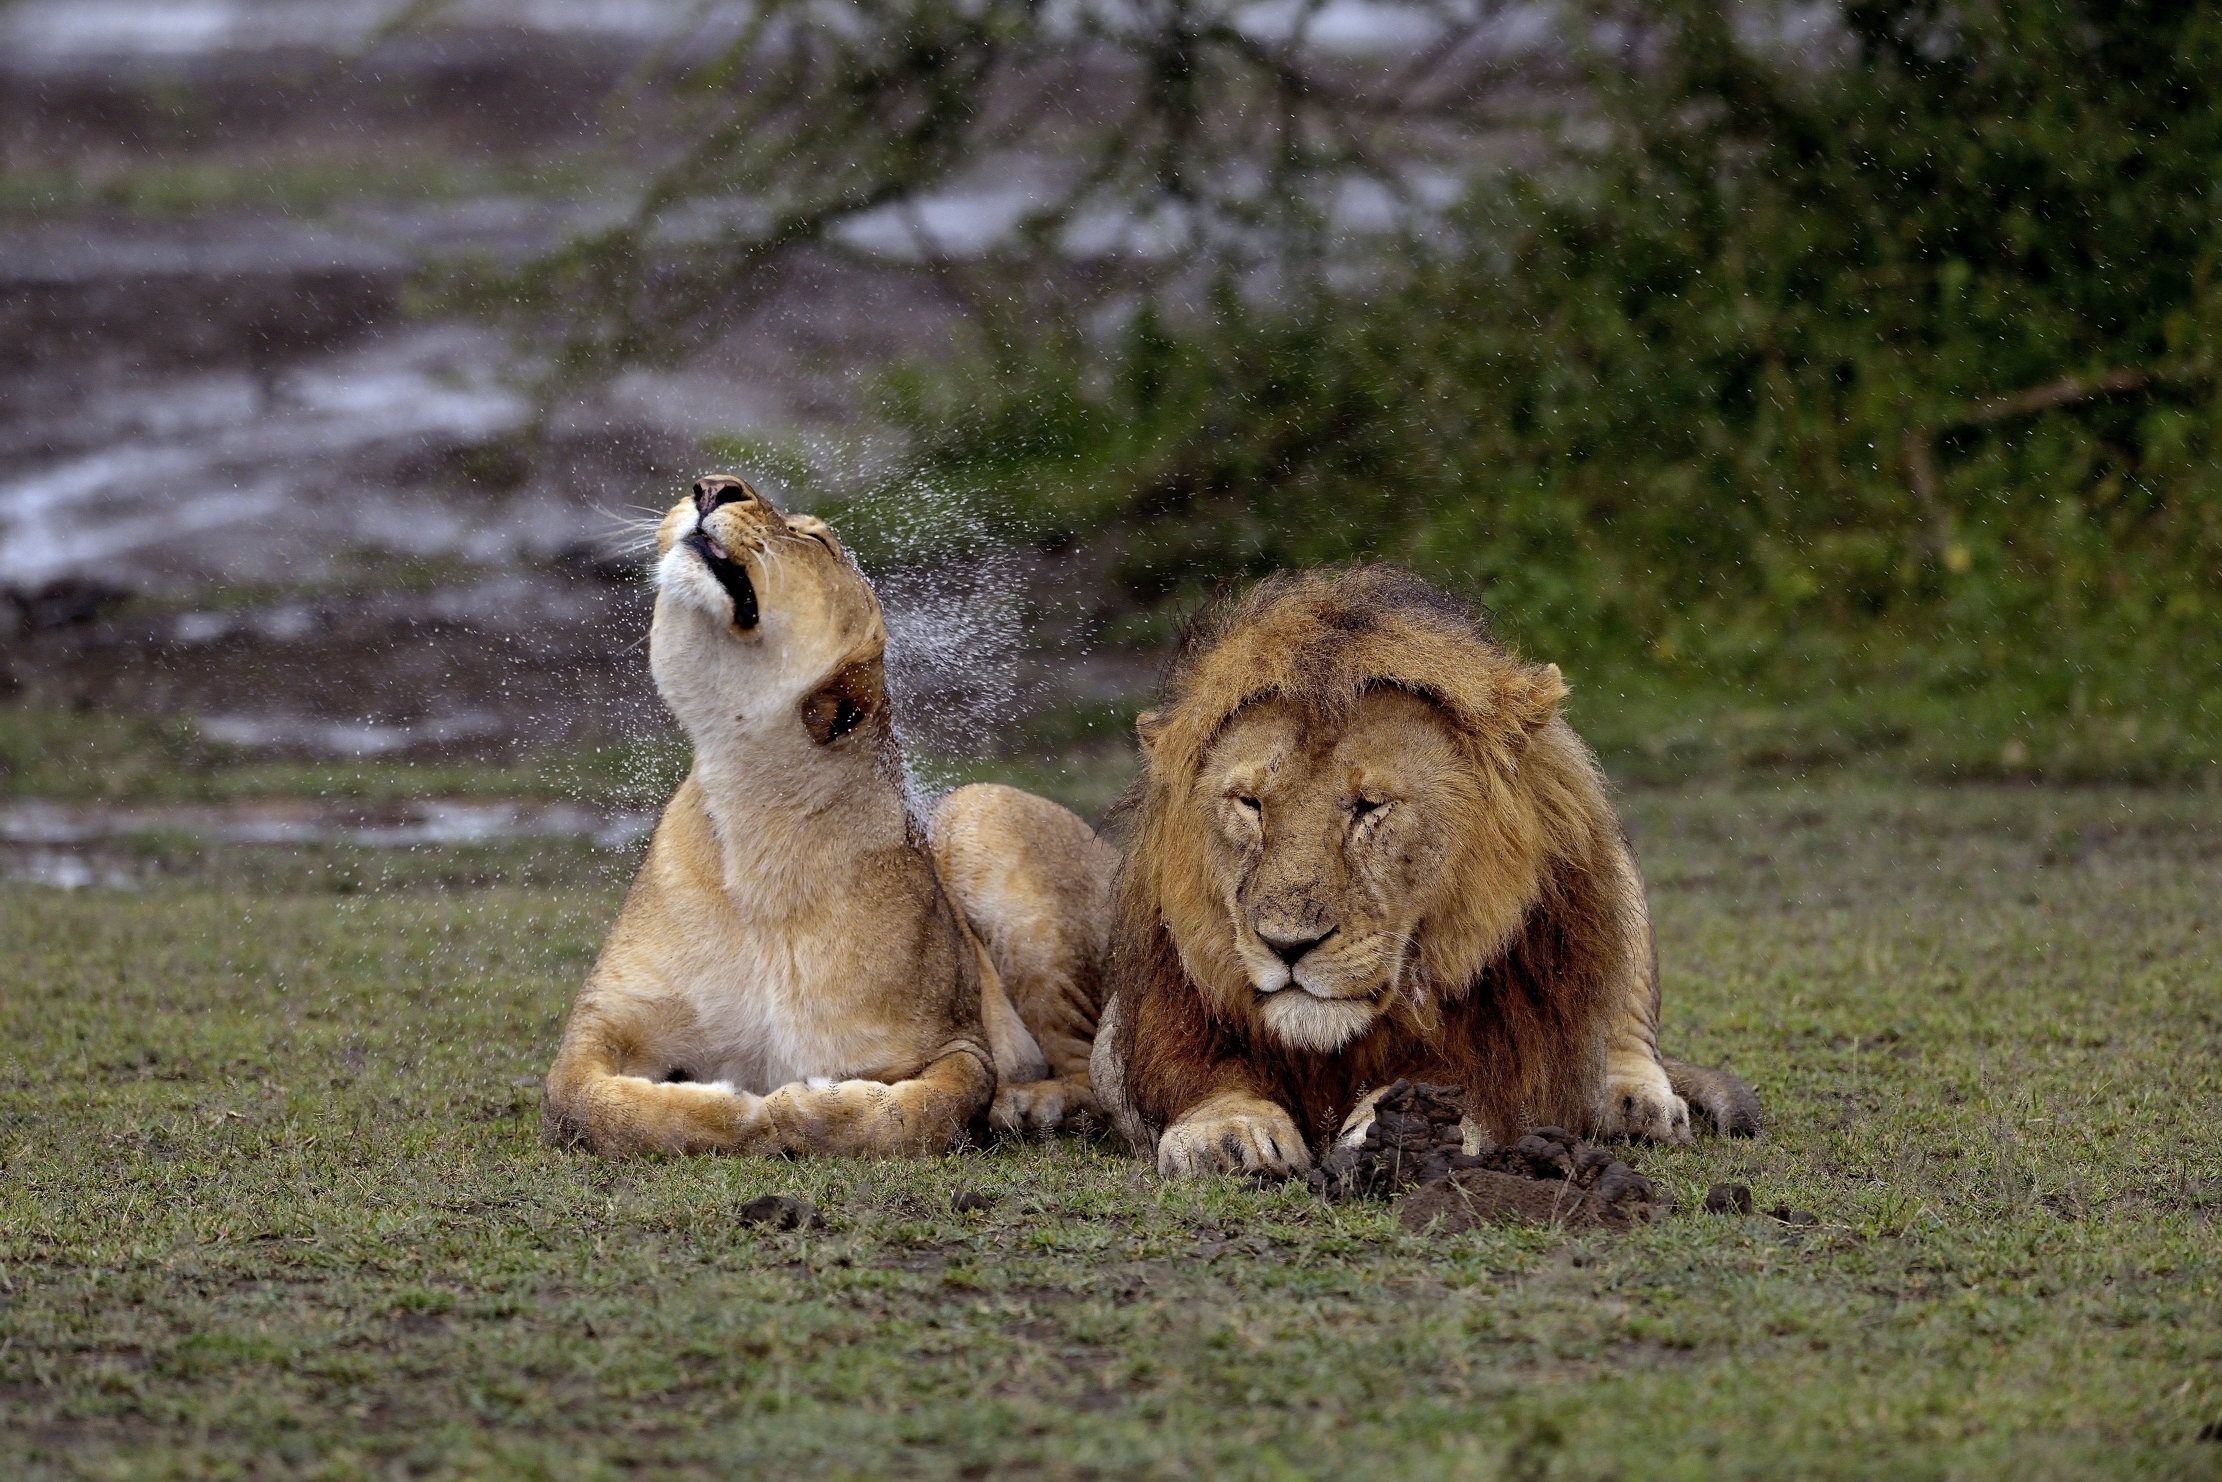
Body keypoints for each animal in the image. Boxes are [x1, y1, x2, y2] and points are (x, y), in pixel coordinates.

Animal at [542, 475, 1115, 1156]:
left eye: (815, 539)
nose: (711, 487)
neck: (752, 803)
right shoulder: (594, 1028)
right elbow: (596, 1106)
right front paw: (732, 1110)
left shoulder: (958, 1041)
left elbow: (923, 1110)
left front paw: (801, 1107)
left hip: (985, 812)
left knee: (1087, 1072)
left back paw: (1027, 1106)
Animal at [1087, 566, 1760, 1178]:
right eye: (1250, 803)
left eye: (1369, 806)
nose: (1287, 946)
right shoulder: (1134, 1030)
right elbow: (1205, 1076)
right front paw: (1225, 1130)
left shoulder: (1513, 1041)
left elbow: (1456, 1083)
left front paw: (1399, 1134)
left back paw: (1636, 1101)